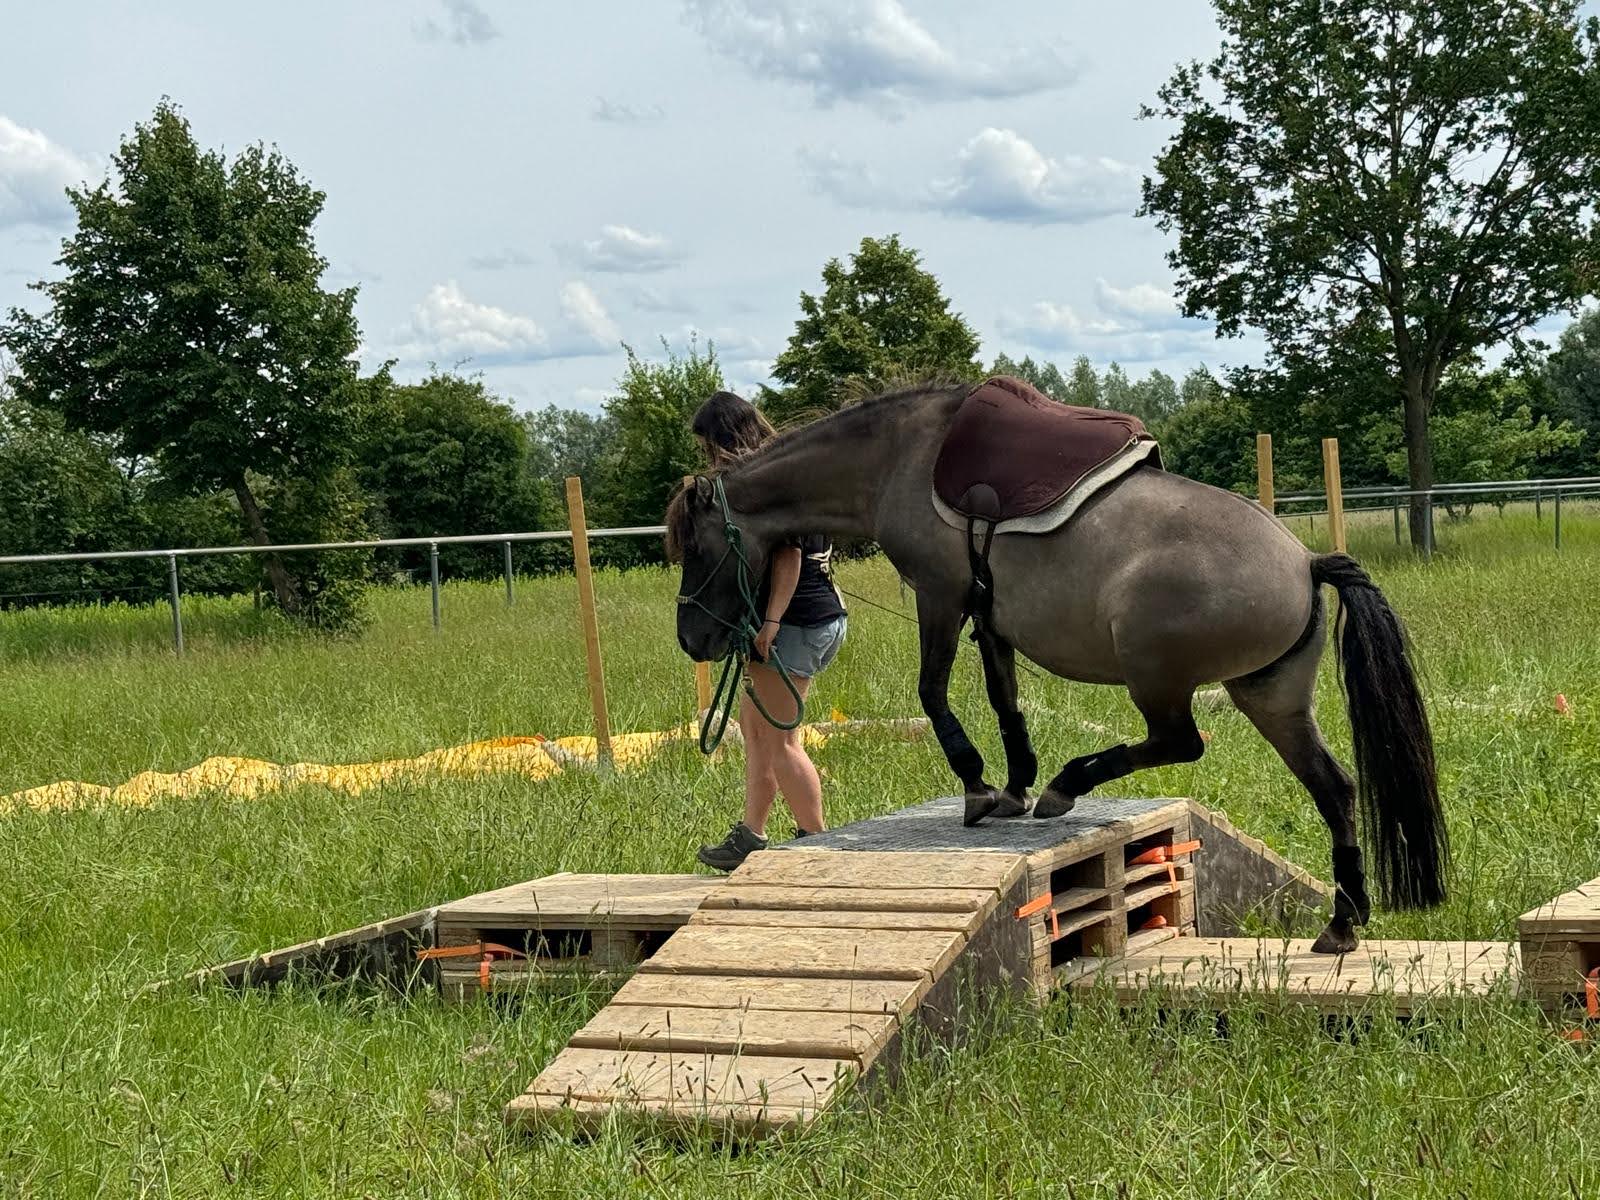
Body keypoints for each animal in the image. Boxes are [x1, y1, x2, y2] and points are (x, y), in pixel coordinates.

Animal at [666, 380, 1448, 954]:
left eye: (696, 548)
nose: (693, 641)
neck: (898, 460)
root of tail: (1307, 559)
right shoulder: (989, 617)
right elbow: (1004, 698)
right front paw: (1013, 784)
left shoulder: (941, 597)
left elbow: (934, 692)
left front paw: (980, 786)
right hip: (1271, 697)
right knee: (1334, 788)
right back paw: (1343, 922)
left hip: (1159, 677)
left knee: (1180, 742)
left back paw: (1069, 786)